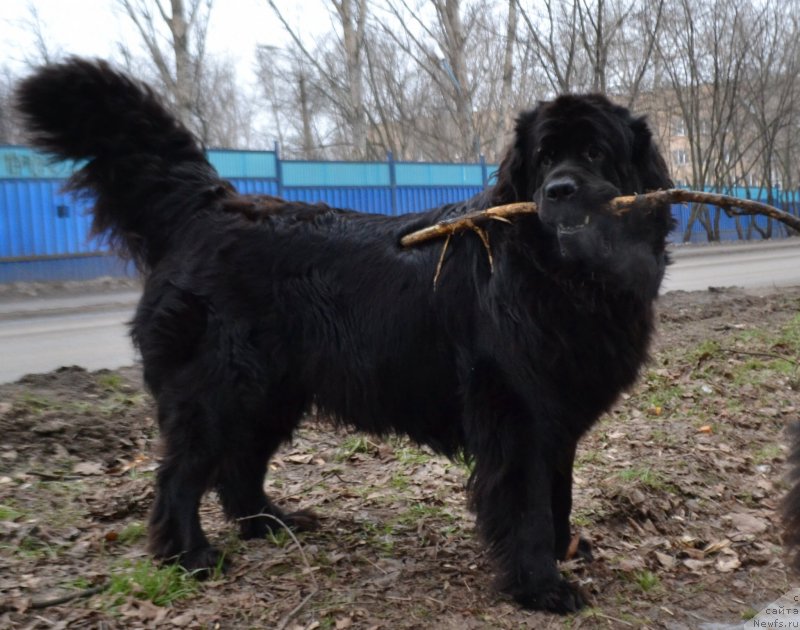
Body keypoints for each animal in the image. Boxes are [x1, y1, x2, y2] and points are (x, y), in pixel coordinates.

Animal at [15, 60, 672, 616]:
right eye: (543, 158)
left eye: (595, 152)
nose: (558, 191)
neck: (561, 277)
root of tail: (208, 208)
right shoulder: (518, 415)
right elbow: (529, 504)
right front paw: (541, 586)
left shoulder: (558, 415)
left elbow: (558, 494)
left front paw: (564, 551)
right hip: (218, 392)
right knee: (179, 474)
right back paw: (190, 556)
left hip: (270, 395)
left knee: (238, 465)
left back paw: (269, 522)